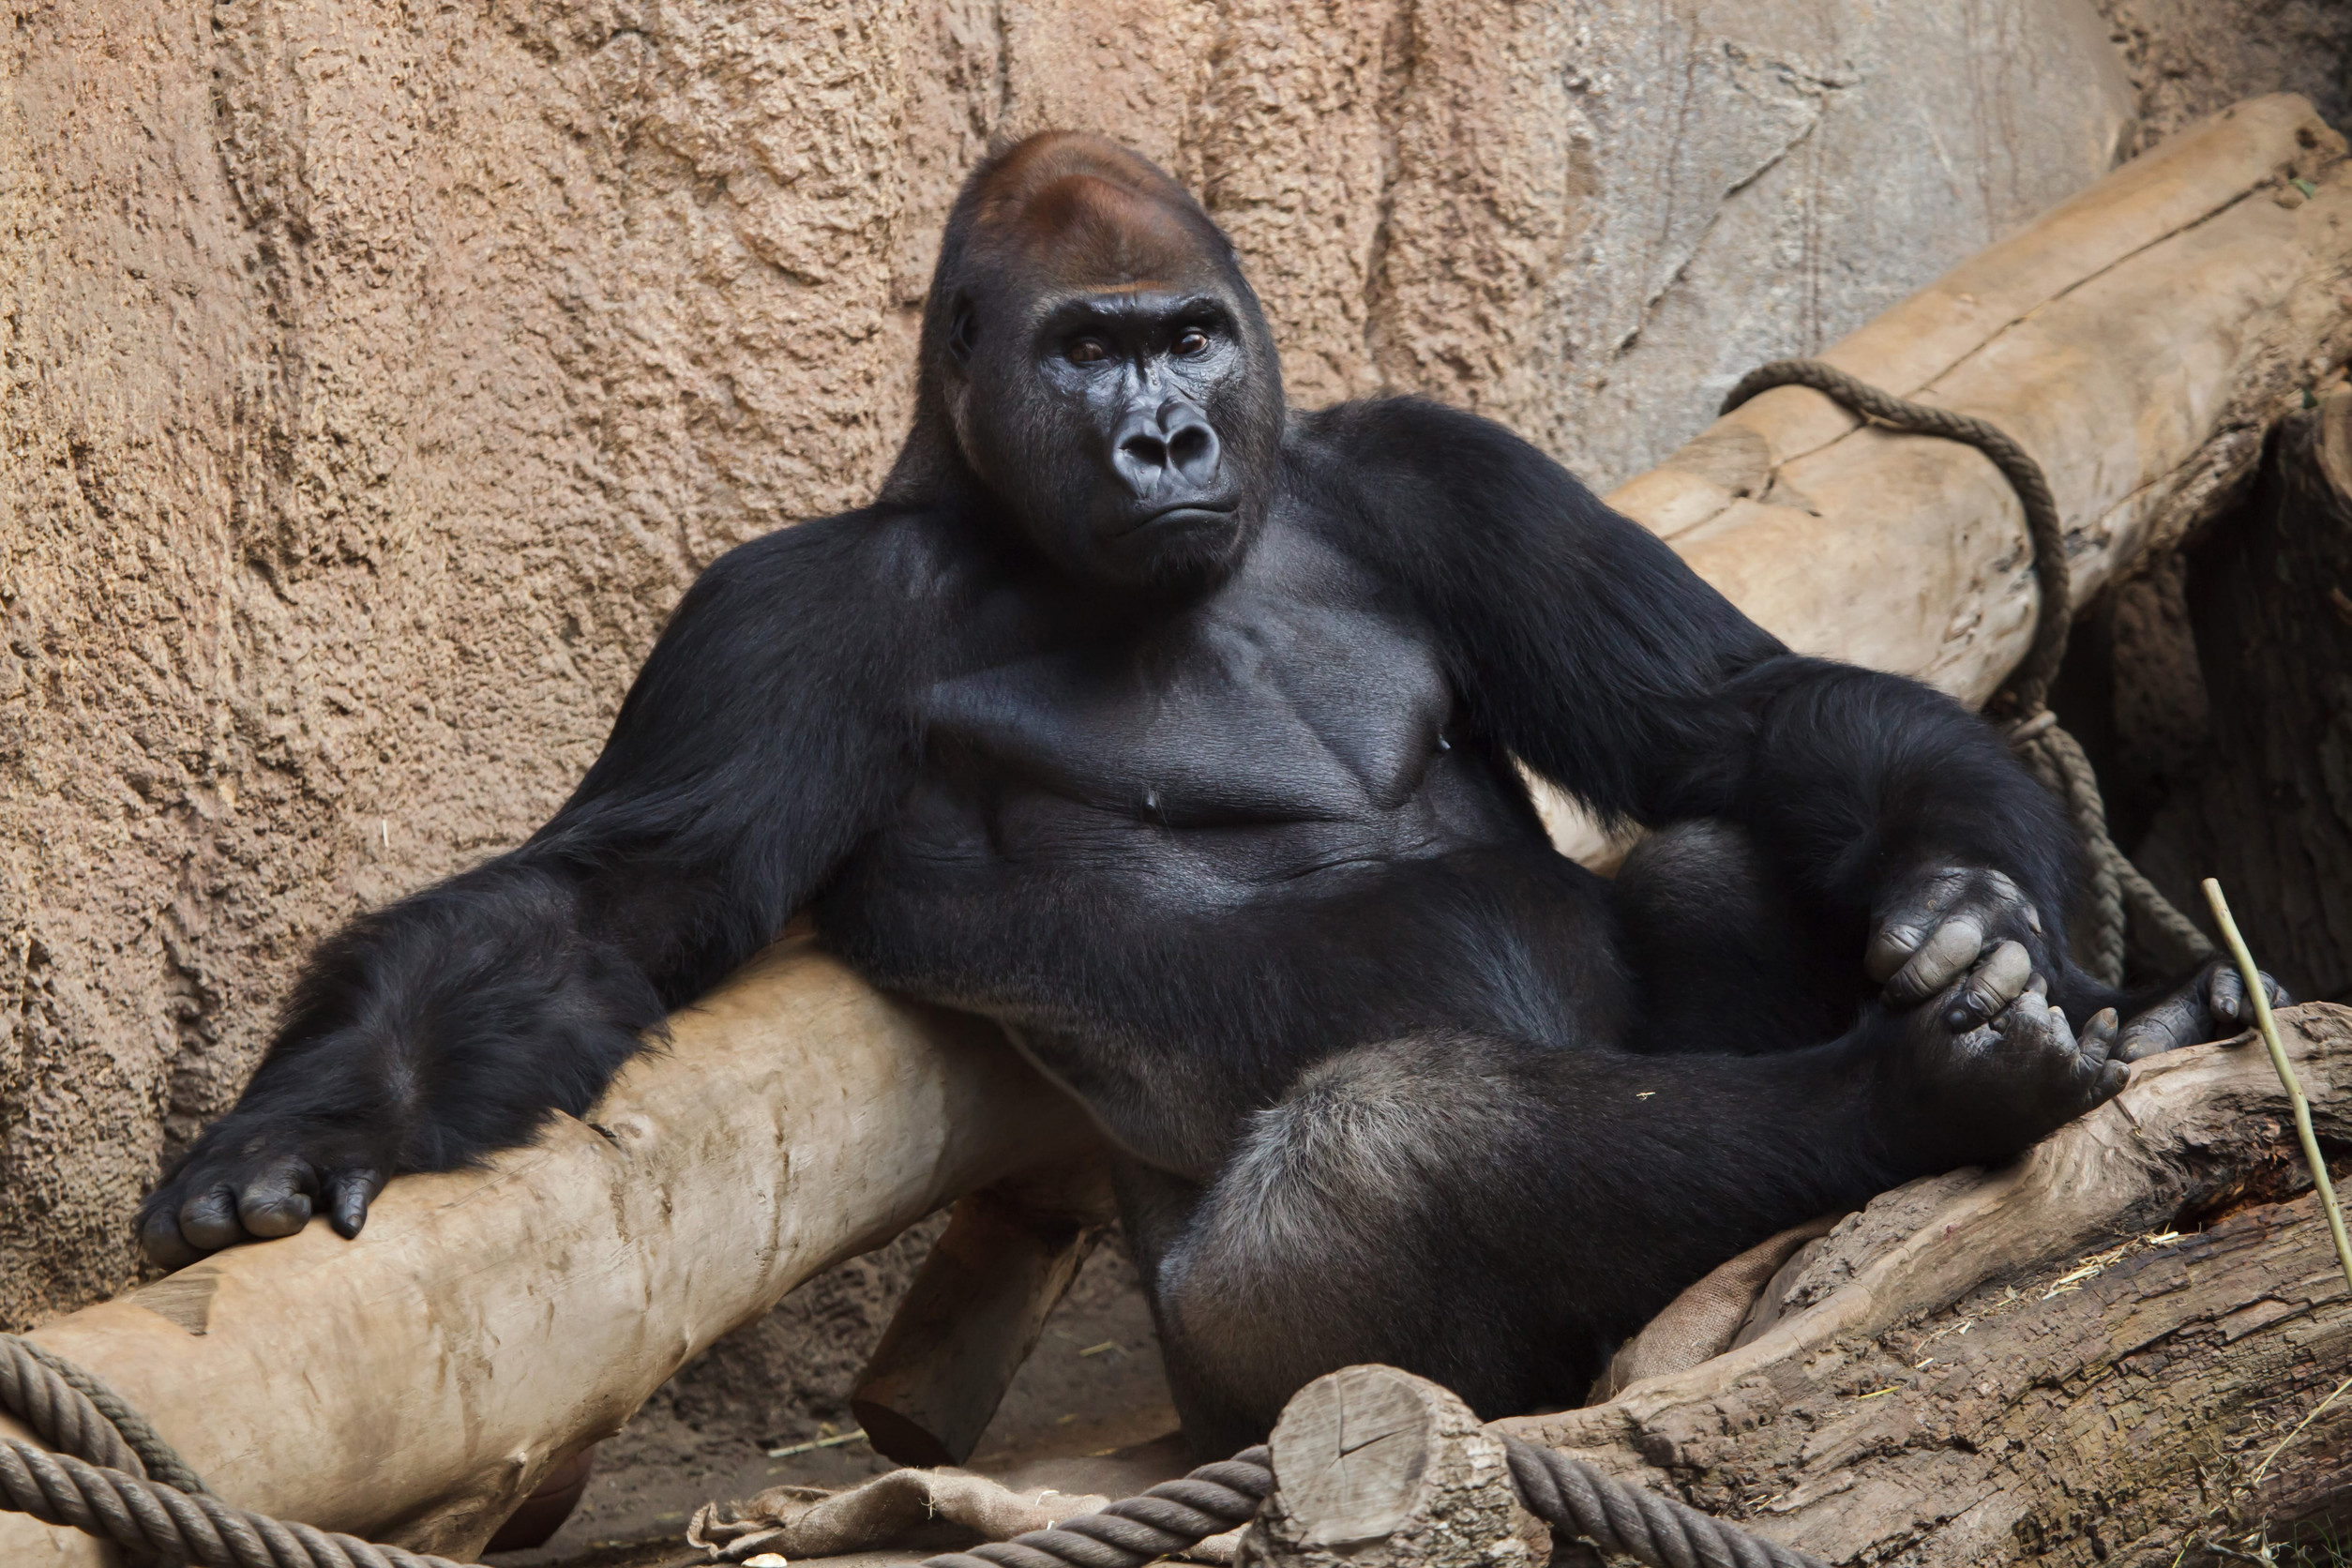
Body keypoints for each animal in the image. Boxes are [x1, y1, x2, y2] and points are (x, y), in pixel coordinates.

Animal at [139, 132, 2273, 1453]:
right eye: (1088, 351)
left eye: (1187, 335)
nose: (1163, 432)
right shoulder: (780, 614)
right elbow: (606, 900)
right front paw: (304, 1127)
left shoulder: (1436, 465)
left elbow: (1726, 712)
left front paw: (1976, 897)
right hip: (1245, 1366)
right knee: (1390, 1157)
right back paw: (1923, 1091)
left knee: (1708, 864)